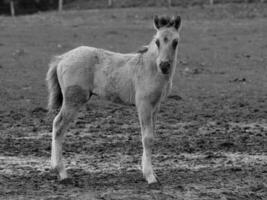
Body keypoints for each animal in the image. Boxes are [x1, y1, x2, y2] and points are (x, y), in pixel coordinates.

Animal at [46, 15, 182, 184]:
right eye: (157, 41)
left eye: (175, 42)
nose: (164, 65)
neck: (150, 68)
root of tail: (62, 58)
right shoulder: (143, 104)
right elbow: (147, 138)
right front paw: (150, 177)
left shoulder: (155, 106)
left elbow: (152, 135)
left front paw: (151, 173)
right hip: (74, 99)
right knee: (59, 126)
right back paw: (62, 172)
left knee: (55, 124)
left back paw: (54, 168)